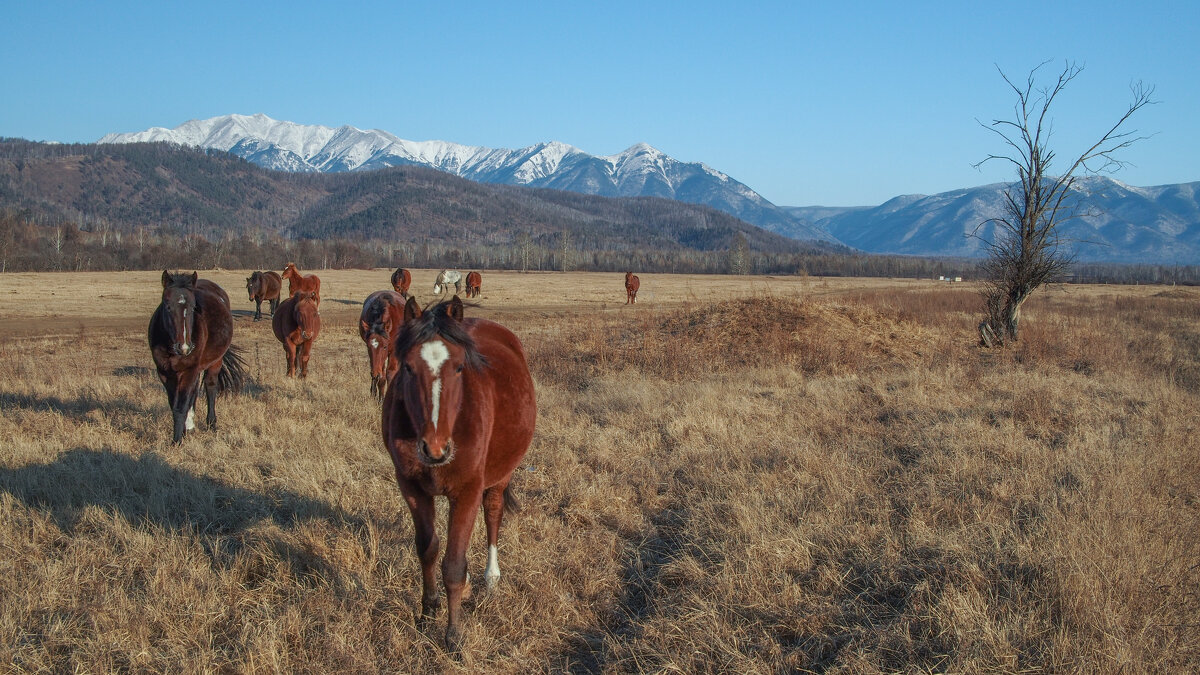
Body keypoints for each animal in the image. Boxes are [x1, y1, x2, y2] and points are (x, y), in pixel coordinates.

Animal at [147, 270, 246, 444]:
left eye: (193, 307)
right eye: (168, 306)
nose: (185, 347)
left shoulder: (189, 370)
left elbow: (180, 406)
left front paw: (176, 441)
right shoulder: (164, 373)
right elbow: (175, 404)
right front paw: (182, 433)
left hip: (215, 362)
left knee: (210, 387)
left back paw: (211, 423)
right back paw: (190, 426)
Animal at [381, 295, 537, 653]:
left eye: (459, 367)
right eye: (407, 367)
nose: (435, 449)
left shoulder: (466, 492)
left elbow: (453, 565)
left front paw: (453, 637)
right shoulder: (412, 489)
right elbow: (427, 550)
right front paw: (427, 614)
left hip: (500, 475)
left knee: (493, 513)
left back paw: (491, 578)